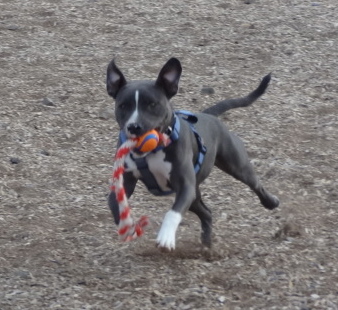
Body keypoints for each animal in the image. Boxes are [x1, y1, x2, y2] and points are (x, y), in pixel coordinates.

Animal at [106, 58, 280, 251]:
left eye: (152, 104)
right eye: (123, 106)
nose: (134, 126)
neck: (152, 151)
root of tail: (208, 115)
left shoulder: (185, 187)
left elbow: (172, 213)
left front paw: (166, 237)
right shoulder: (127, 182)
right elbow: (114, 202)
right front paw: (127, 225)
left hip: (236, 166)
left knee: (256, 184)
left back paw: (271, 202)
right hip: (195, 196)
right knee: (207, 213)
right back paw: (206, 243)